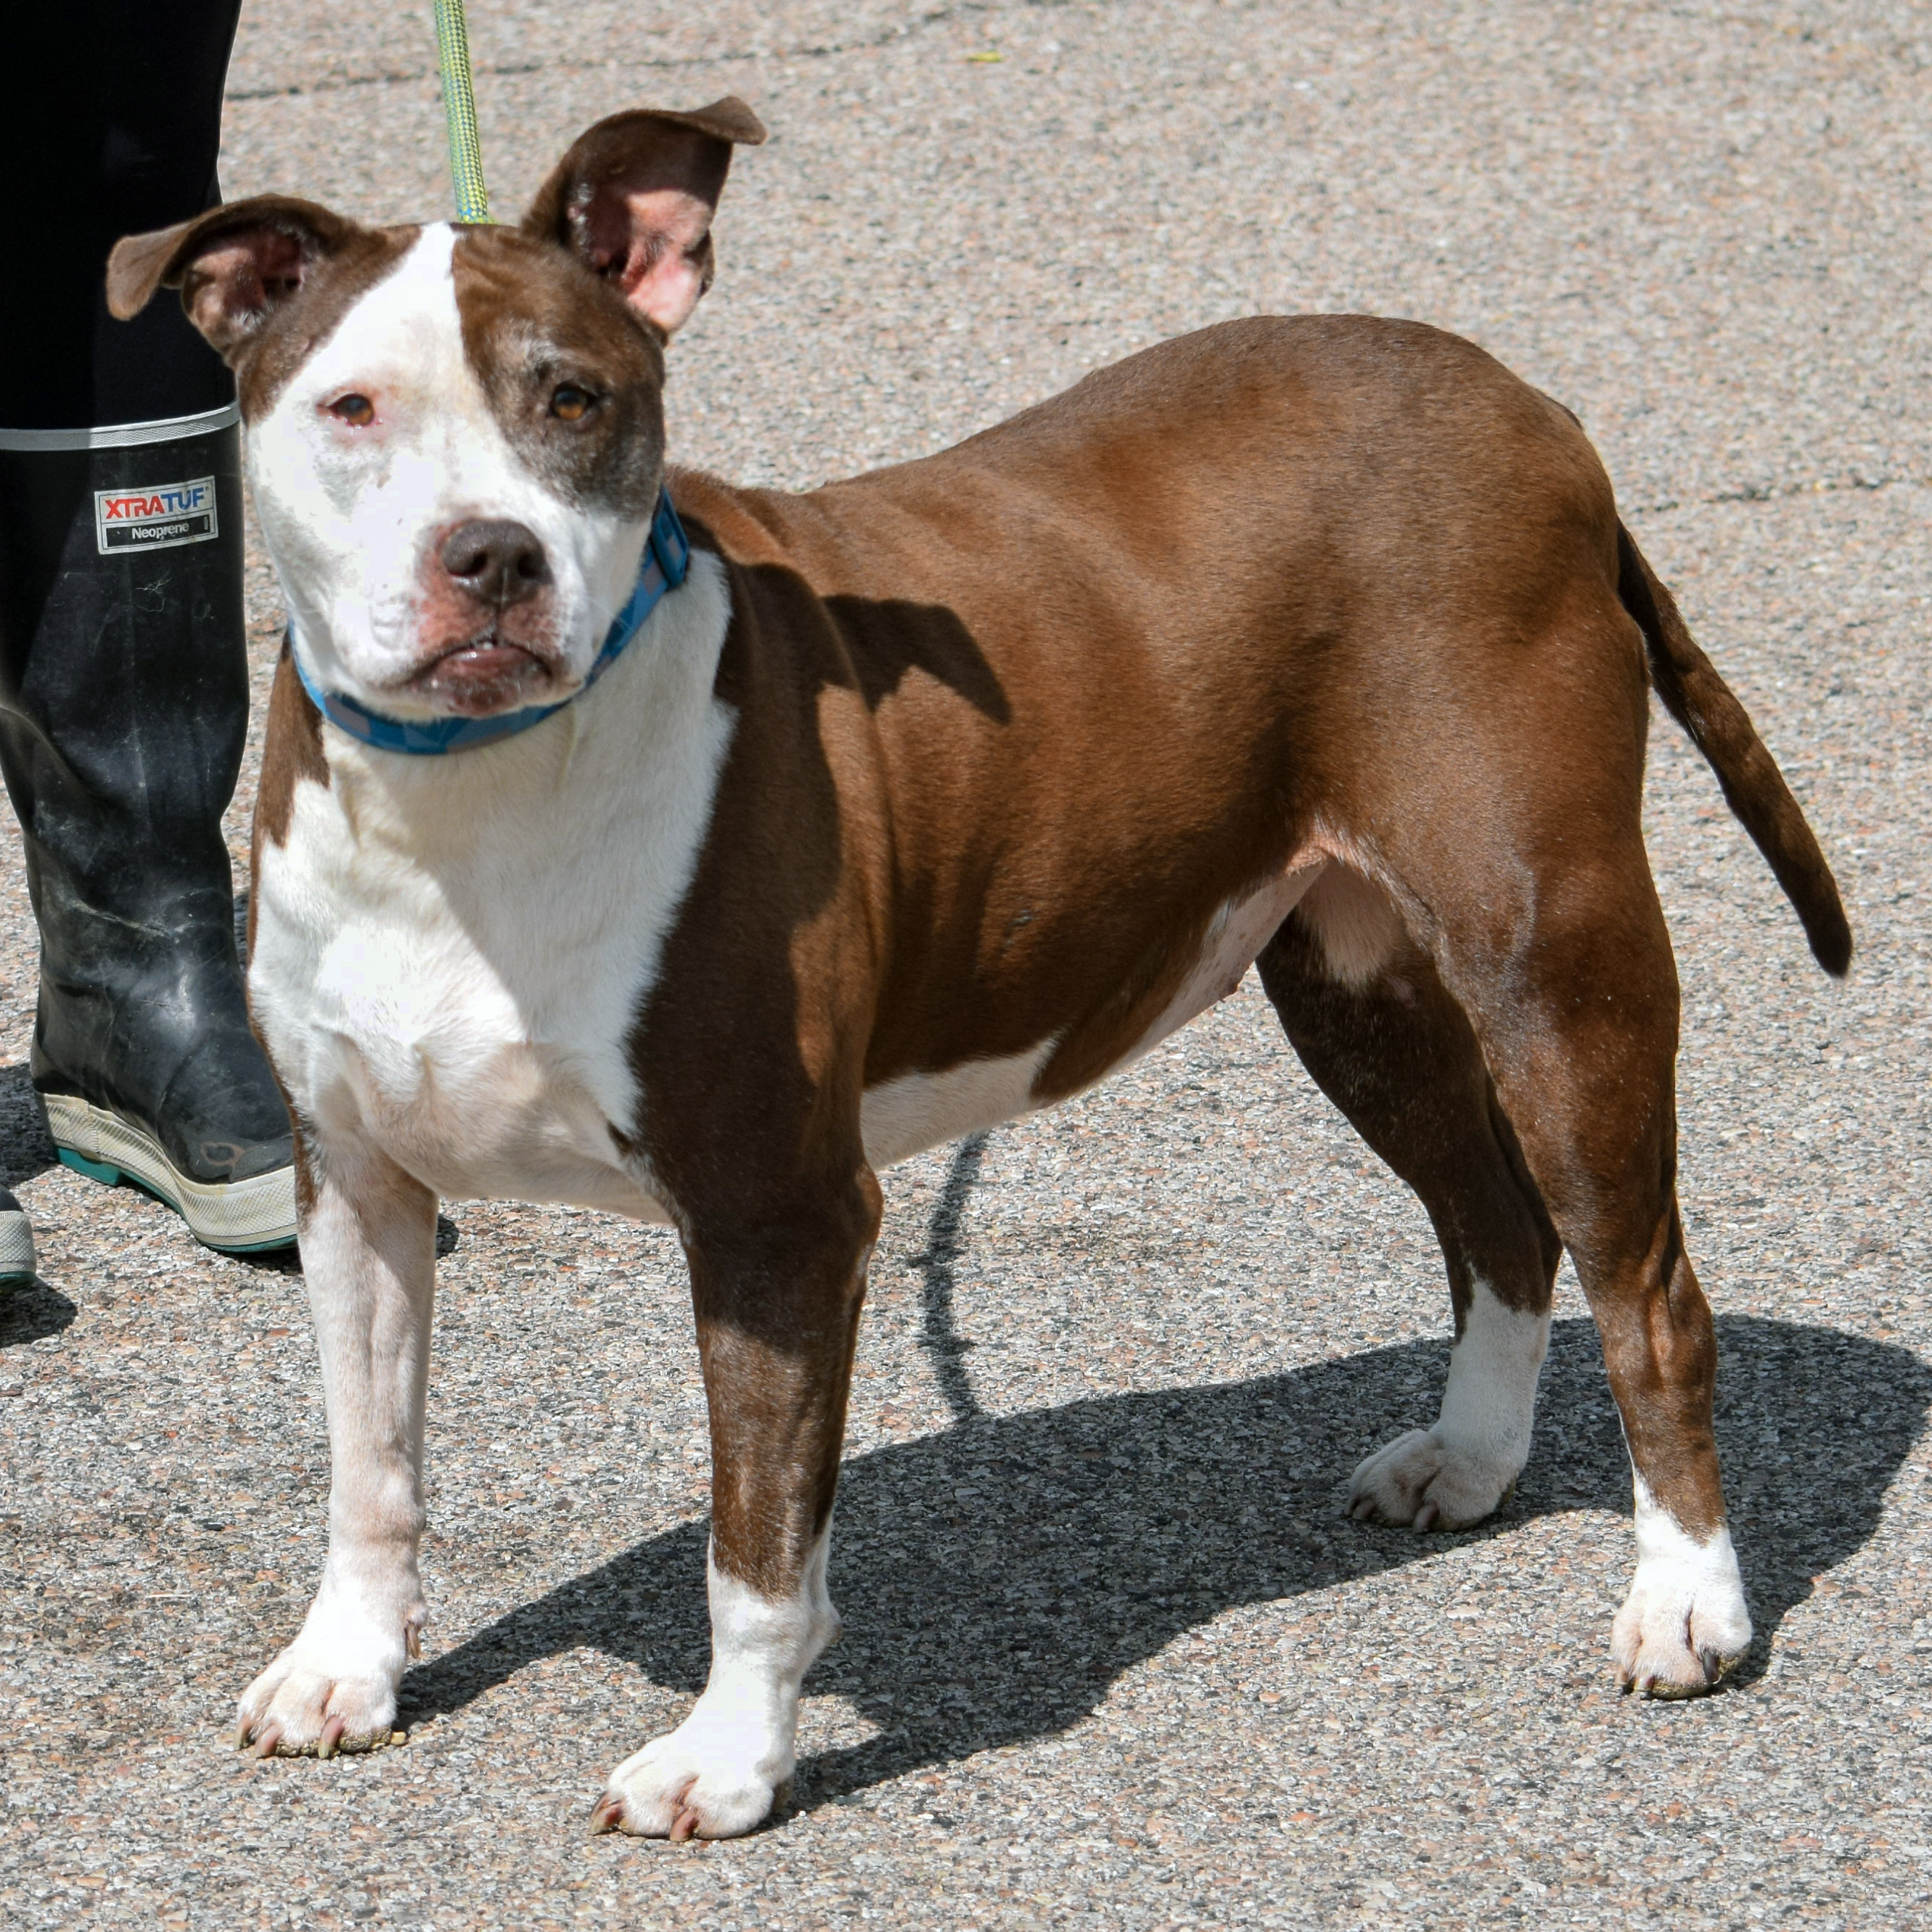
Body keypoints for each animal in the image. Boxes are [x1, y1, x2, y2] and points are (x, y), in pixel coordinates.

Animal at [110, 94, 1854, 1839]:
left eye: (574, 399)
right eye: (351, 406)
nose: (491, 558)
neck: (468, 793)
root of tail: (1535, 412)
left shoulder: (778, 1213)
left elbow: (754, 1541)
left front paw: (727, 1758)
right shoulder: (355, 1180)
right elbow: (370, 1469)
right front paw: (345, 1668)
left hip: (1553, 961)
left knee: (1646, 1286)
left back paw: (1687, 1601)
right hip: (1353, 981)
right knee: (1497, 1219)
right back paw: (1473, 1459)